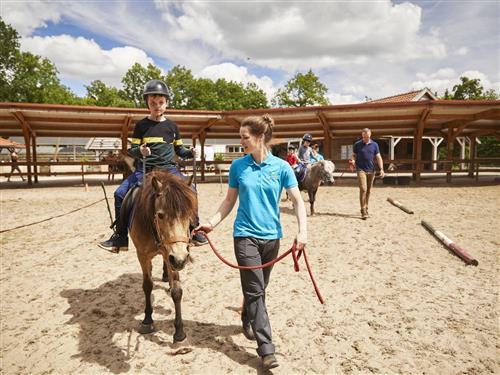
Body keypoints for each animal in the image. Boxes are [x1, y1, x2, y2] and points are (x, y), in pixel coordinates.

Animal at [129, 170, 197, 344]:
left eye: (189, 214)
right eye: (160, 215)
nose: (180, 259)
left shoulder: (172, 254)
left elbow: (177, 291)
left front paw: (179, 333)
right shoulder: (142, 255)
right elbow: (147, 285)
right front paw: (147, 320)